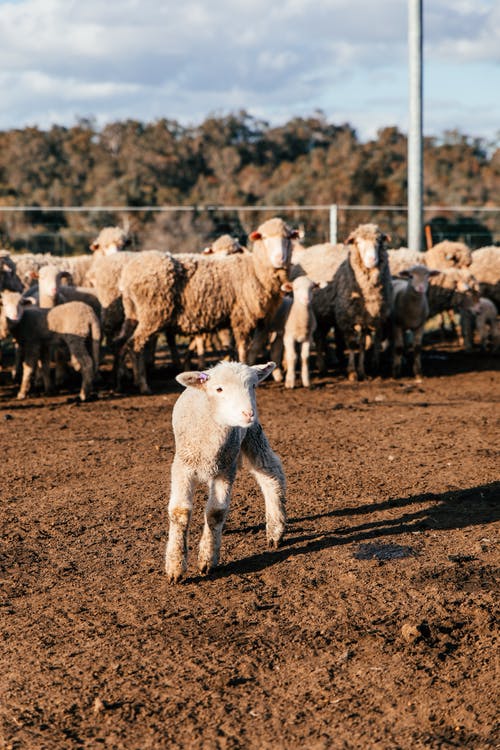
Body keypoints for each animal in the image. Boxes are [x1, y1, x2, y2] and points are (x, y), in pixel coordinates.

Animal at [118, 216, 296, 394]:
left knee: (121, 341)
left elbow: (247, 346)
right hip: (152, 314)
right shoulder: (242, 316)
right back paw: (142, 384)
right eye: (265, 238)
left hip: (133, 313)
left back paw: (124, 379)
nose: (280, 259)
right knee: (135, 345)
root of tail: (127, 275)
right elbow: (243, 347)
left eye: (287, 238)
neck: (255, 269)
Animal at [166, 362, 288, 584]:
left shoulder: (225, 470)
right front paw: (175, 567)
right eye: (219, 389)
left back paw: (275, 529)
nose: (248, 414)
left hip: (252, 435)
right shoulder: (182, 466)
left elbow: (216, 512)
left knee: (270, 472)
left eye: (253, 386)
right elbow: (180, 512)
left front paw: (207, 559)